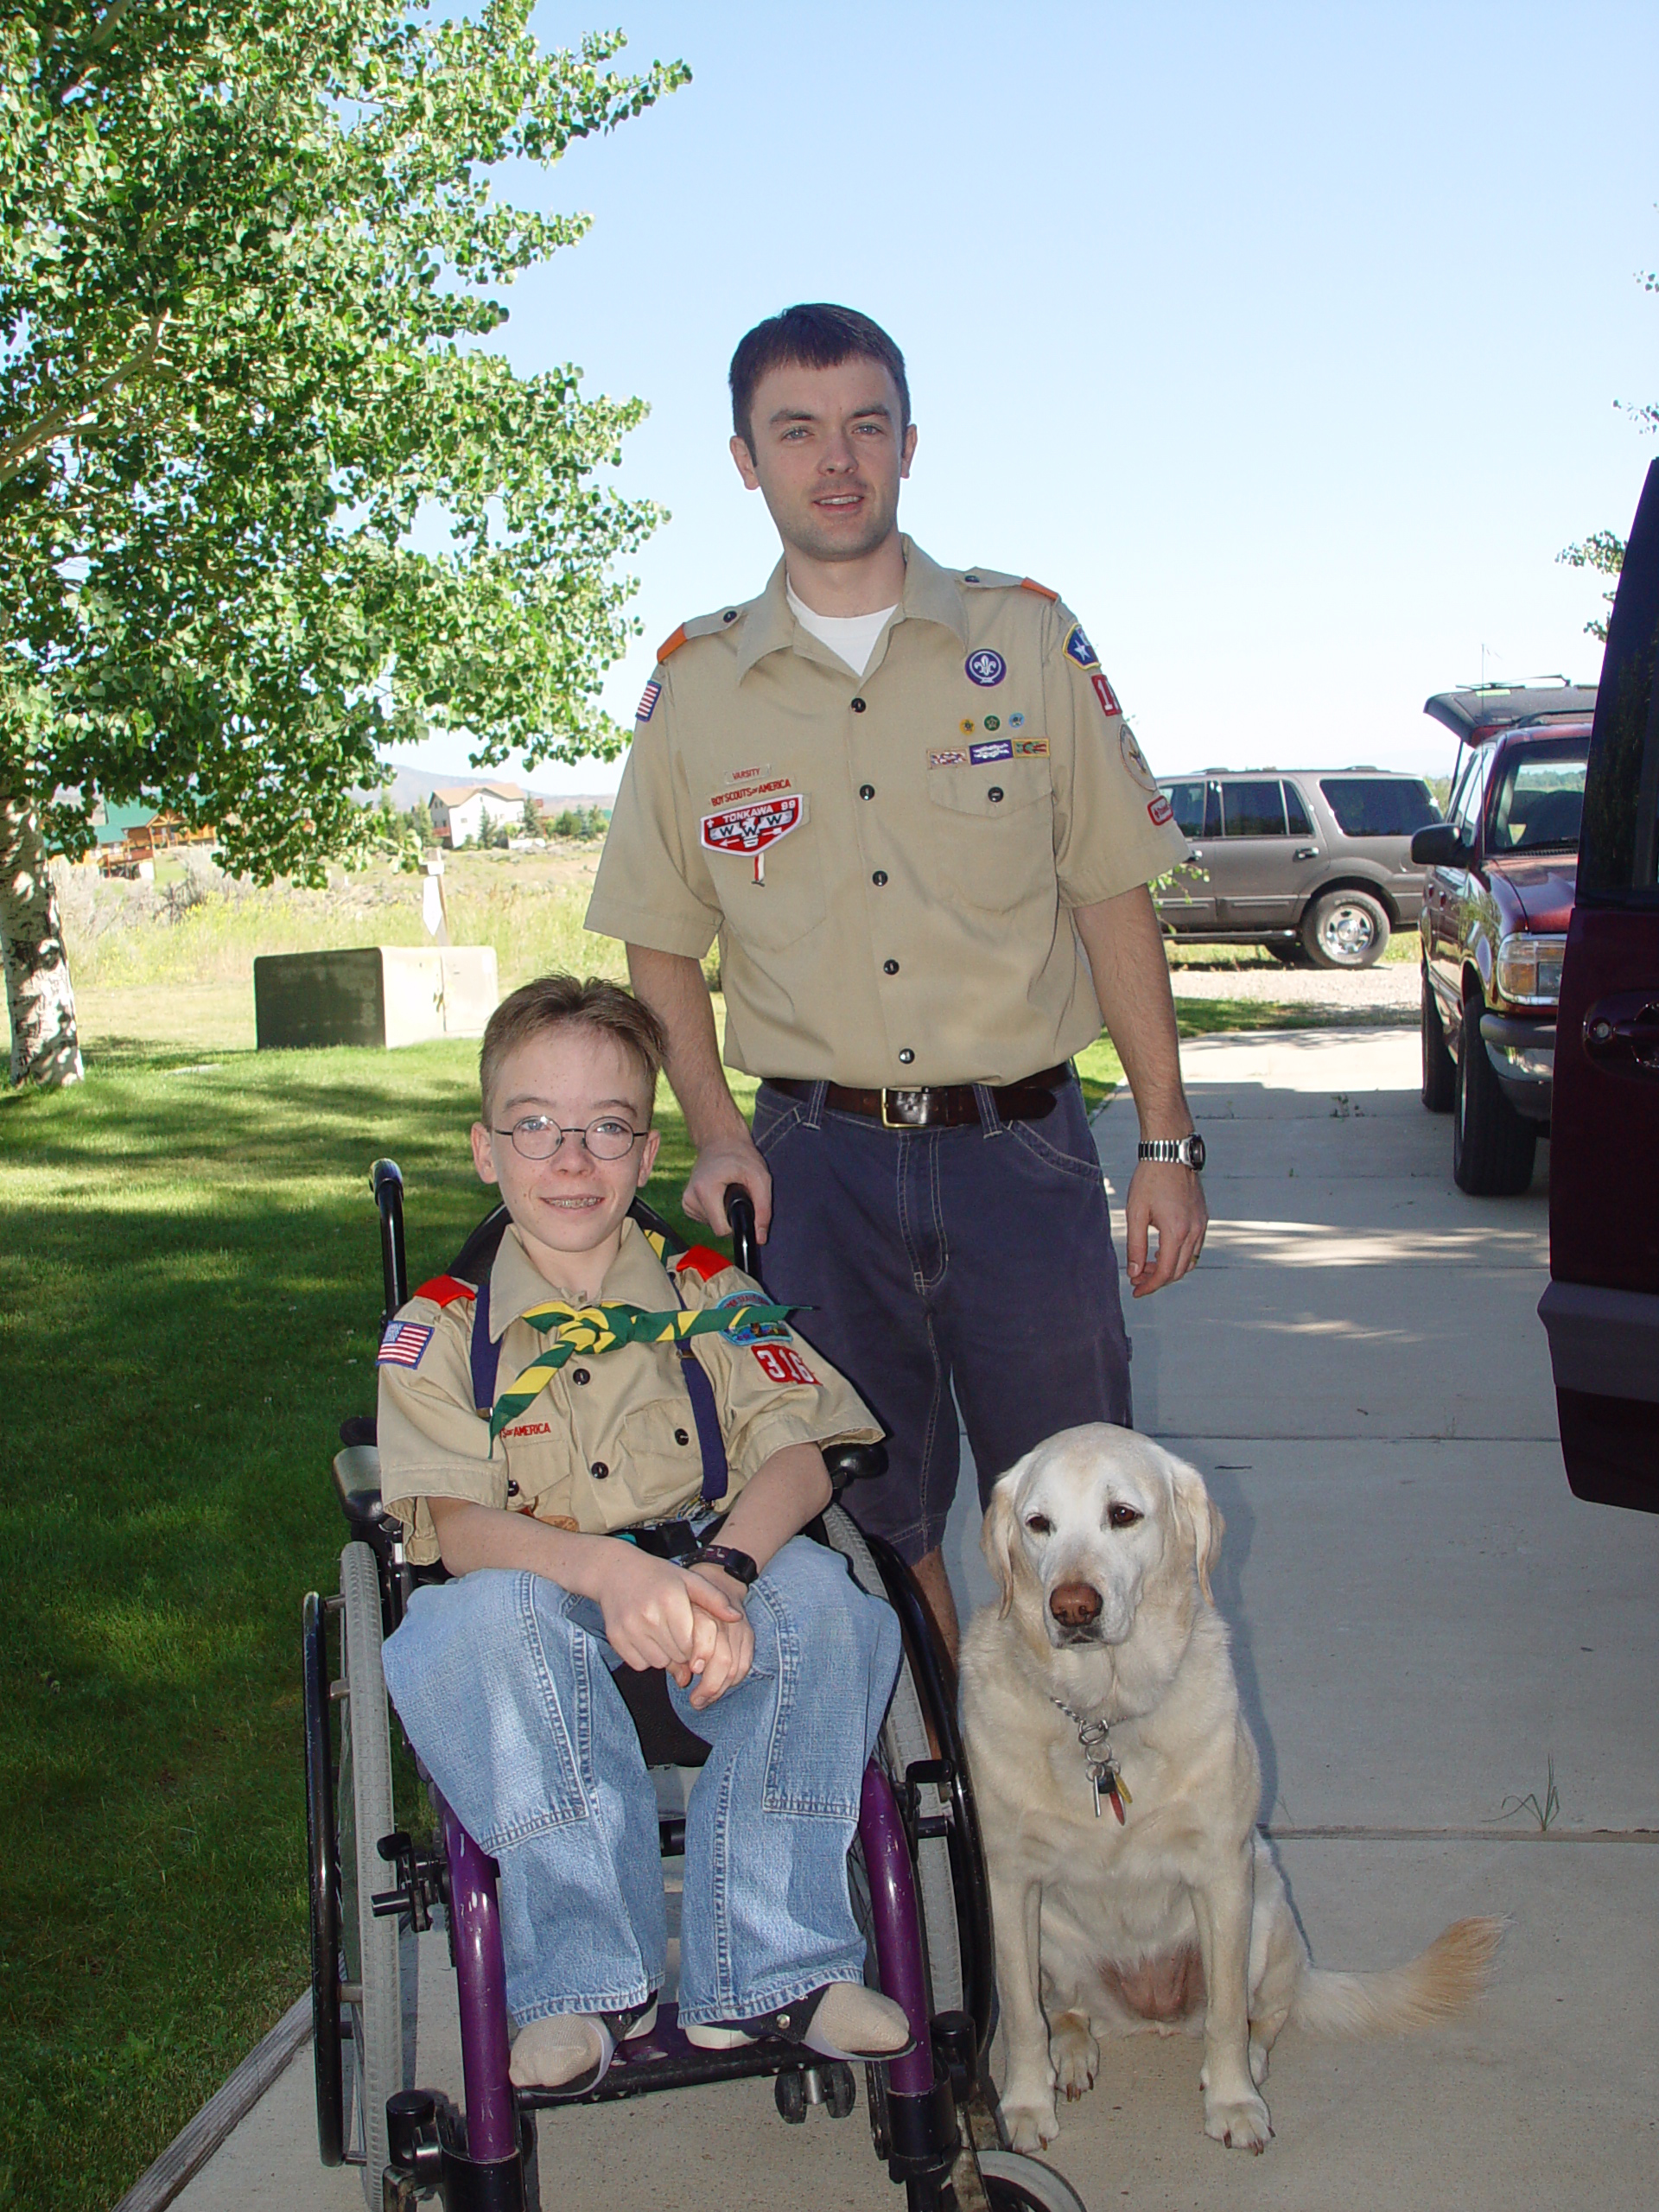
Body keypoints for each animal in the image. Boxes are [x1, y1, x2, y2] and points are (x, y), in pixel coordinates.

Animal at [960, 1415, 1503, 2158]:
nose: (1071, 1607)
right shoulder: (1011, 1884)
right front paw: (1023, 2104)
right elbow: (1019, 2015)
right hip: (1057, 1942)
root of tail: (1151, 2015)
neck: (1104, 1714)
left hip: (1266, 1913)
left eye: (1122, 1515)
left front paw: (1233, 2102)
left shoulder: (1222, 1872)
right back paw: (1070, 2056)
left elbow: (1224, 2017)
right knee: (1065, 2012)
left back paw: (1250, 2061)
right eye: (1038, 1524)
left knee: (1263, 2015)